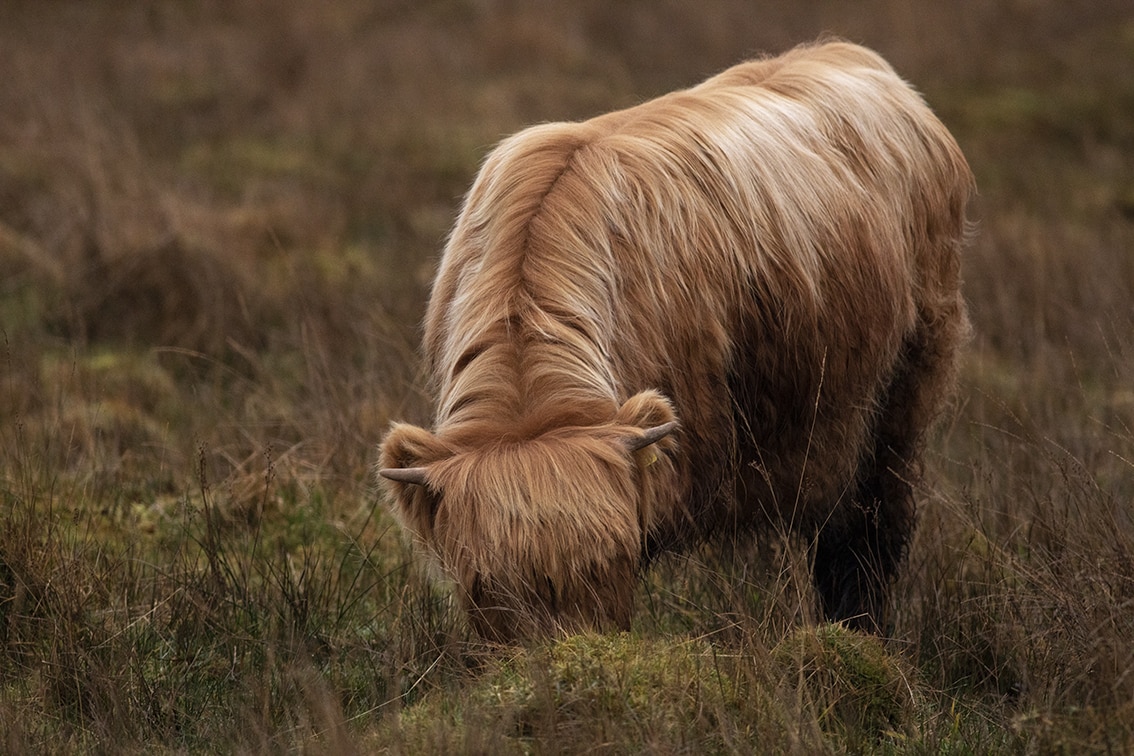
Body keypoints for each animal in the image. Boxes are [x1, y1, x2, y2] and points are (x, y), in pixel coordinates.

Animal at [376, 41, 970, 643]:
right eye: (483, 586)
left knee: (867, 536)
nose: (562, 655)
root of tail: (856, 56)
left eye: (609, 562)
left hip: (895, 410)